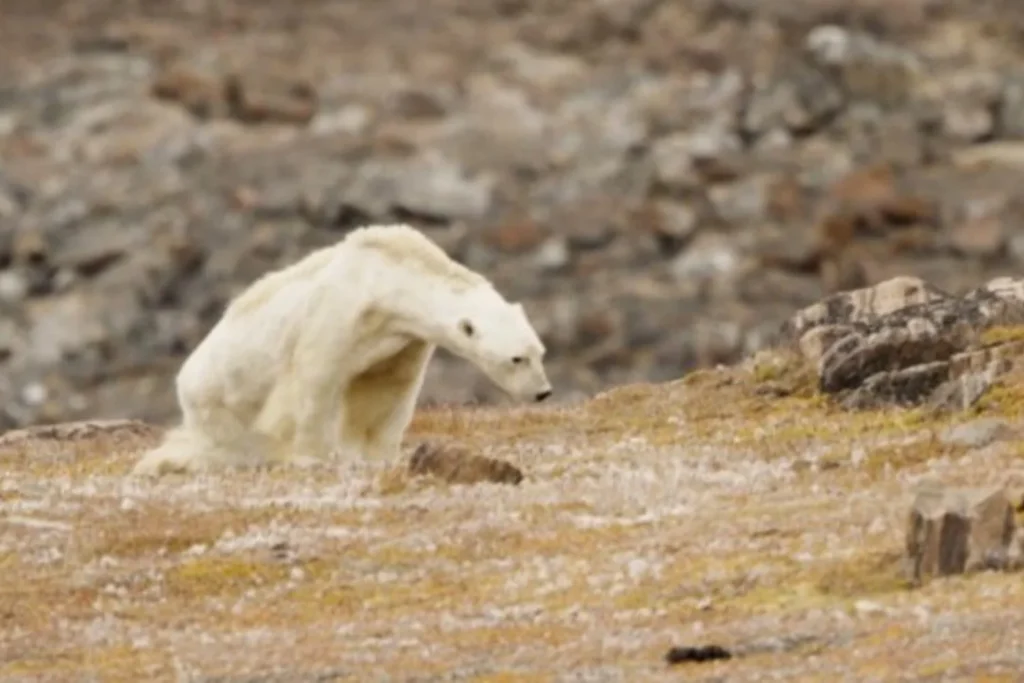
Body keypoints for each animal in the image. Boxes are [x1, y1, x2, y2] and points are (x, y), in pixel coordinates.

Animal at [131, 223, 552, 476]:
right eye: (517, 359)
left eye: (540, 352)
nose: (543, 392)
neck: (388, 279)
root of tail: (183, 377)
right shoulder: (338, 313)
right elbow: (316, 381)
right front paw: (314, 456)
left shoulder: (402, 338)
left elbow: (386, 389)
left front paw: (376, 455)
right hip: (217, 400)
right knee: (236, 442)